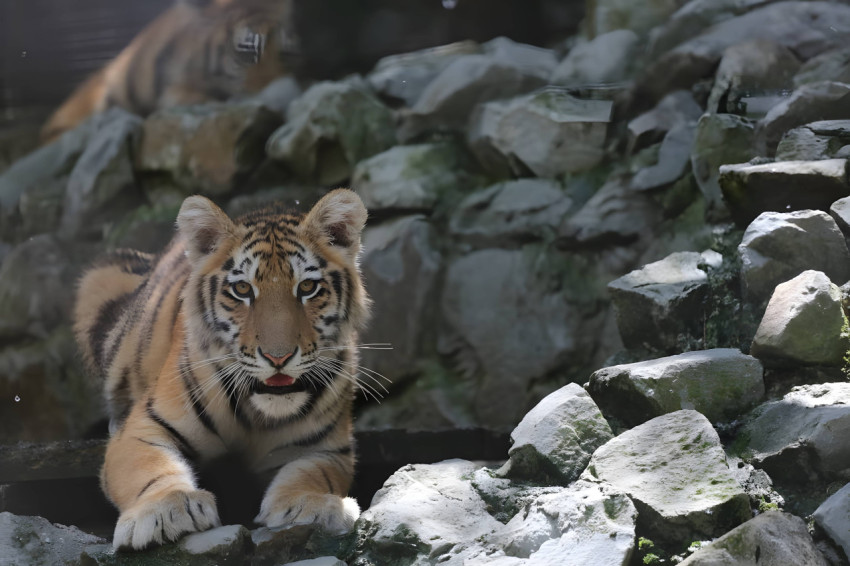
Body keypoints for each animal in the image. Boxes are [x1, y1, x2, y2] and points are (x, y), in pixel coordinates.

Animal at [73, 189, 371, 549]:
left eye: (307, 288)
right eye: (242, 290)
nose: (278, 357)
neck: (258, 414)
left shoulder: (326, 448)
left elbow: (313, 475)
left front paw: (312, 506)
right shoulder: (142, 429)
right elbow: (149, 468)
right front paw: (166, 509)